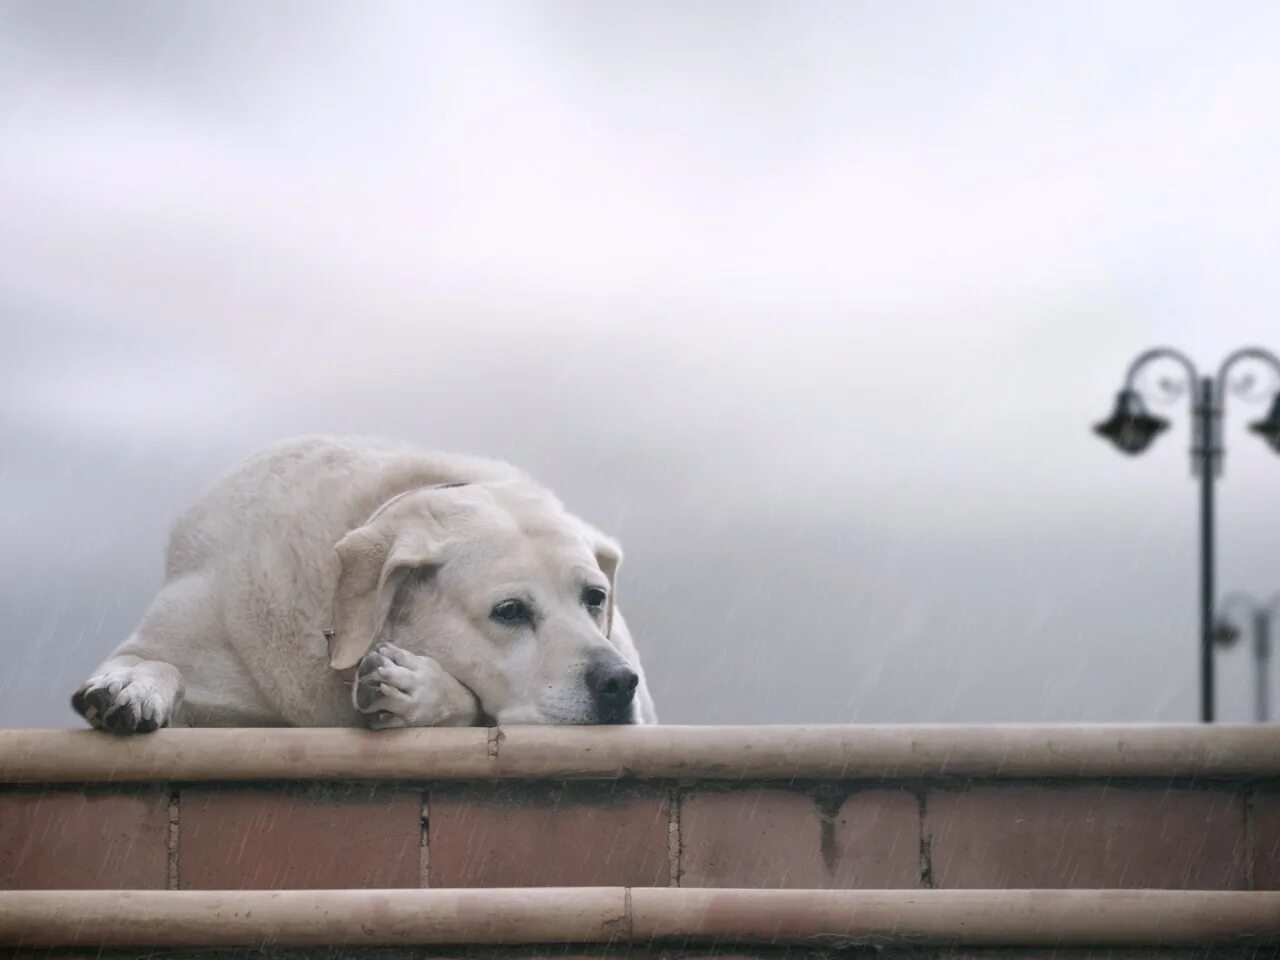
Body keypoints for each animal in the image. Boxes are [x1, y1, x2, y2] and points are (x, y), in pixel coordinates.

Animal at [71, 440, 655, 732]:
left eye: (594, 598)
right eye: (509, 610)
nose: (616, 683)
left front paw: (416, 689)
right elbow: (156, 661)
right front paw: (130, 686)